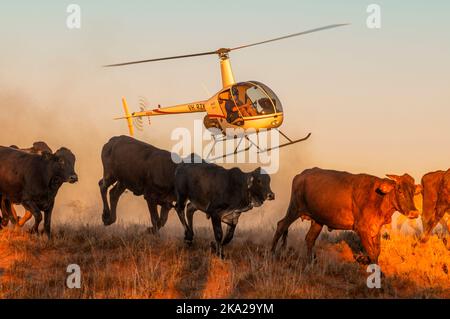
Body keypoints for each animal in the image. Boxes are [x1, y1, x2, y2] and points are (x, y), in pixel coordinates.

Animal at [270, 168, 422, 264]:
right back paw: (271, 254)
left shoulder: (375, 229)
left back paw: (311, 262)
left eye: (413, 191)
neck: (379, 198)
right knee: (281, 225)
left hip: (317, 220)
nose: (414, 212)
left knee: (309, 239)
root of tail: (301, 175)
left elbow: (377, 252)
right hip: (294, 208)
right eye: (399, 190)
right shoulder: (362, 229)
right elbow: (372, 253)